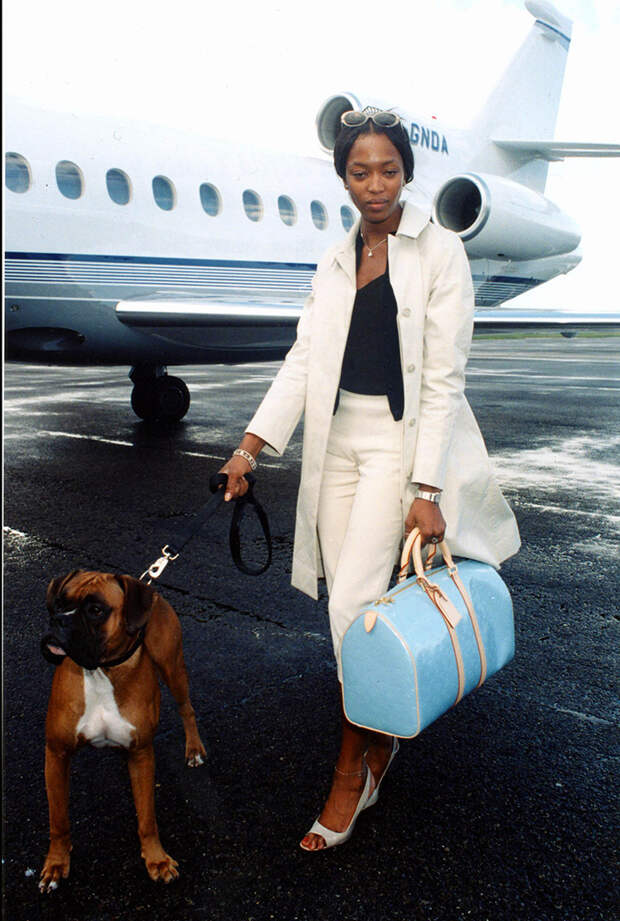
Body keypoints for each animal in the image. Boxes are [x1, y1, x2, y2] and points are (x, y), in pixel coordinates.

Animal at [39, 570, 206, 892]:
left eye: (95, 610)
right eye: (60, 603)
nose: (57, 621)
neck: (100, 671)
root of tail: (150, 588)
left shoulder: (142, 754)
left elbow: (147, 818)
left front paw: (156, 859)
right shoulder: (56, 754)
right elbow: (58, 820)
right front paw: (56, 864)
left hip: (173, 669)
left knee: (187, 709)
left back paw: (194, 749)